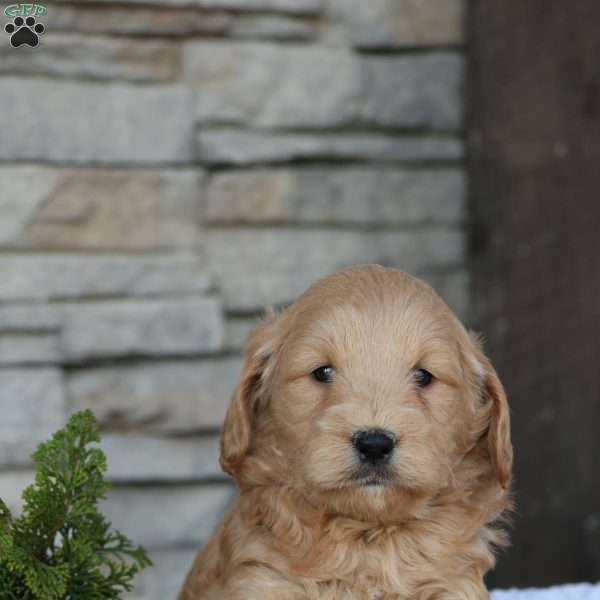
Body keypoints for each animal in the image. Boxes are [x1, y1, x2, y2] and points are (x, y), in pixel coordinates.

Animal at [177, 268, 510, 600]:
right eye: (322, 372)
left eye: (424, 376)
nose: (374, 444)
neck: (365, 539)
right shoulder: (262, 579)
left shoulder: (452, 584)